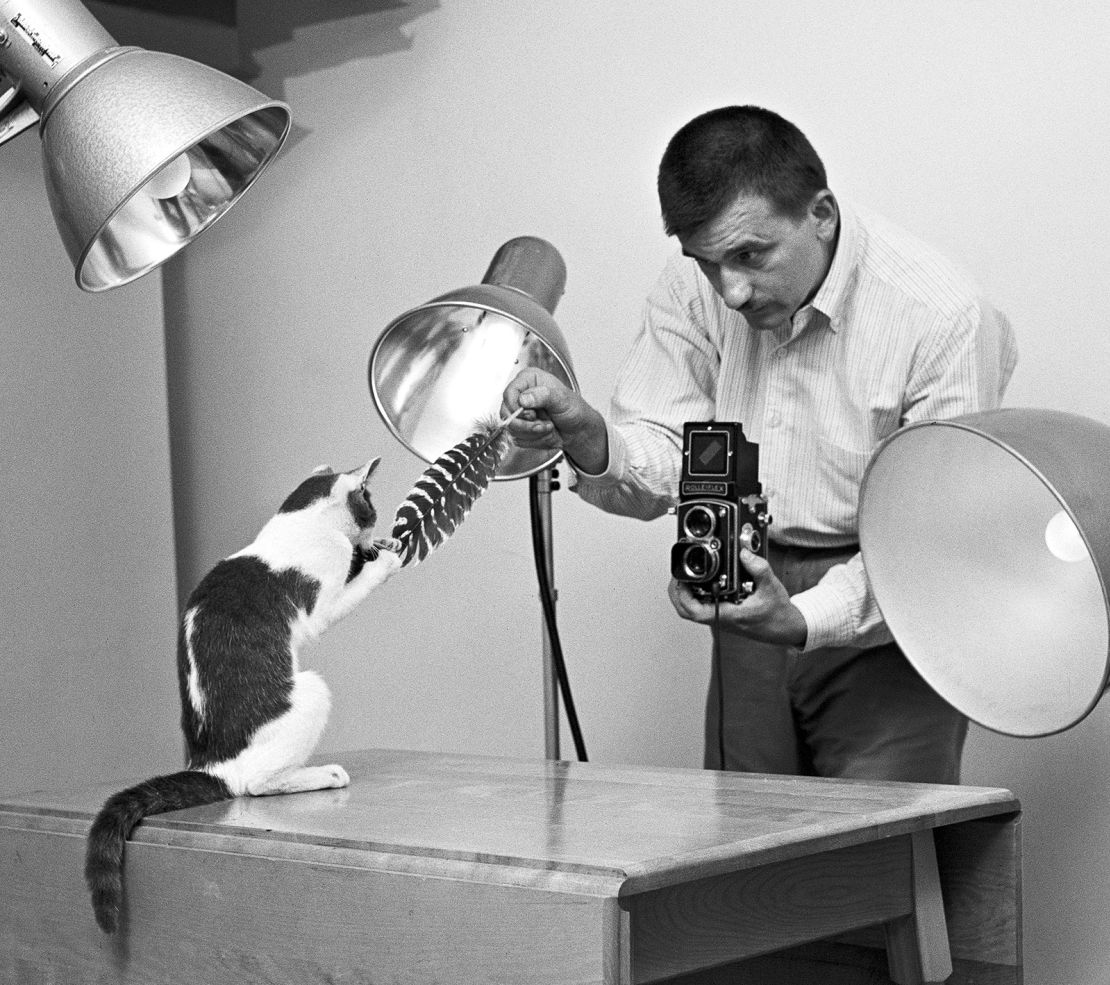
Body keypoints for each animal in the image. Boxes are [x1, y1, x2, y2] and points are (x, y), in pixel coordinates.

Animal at [84, 457, 404, 937]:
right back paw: (321, 774)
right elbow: (349, 590)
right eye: (371, 506)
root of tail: (212, 763)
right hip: (312, 690)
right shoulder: (322, 598)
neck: (297, 523)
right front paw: (383, 559)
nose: (373, 536)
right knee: (254, 784)